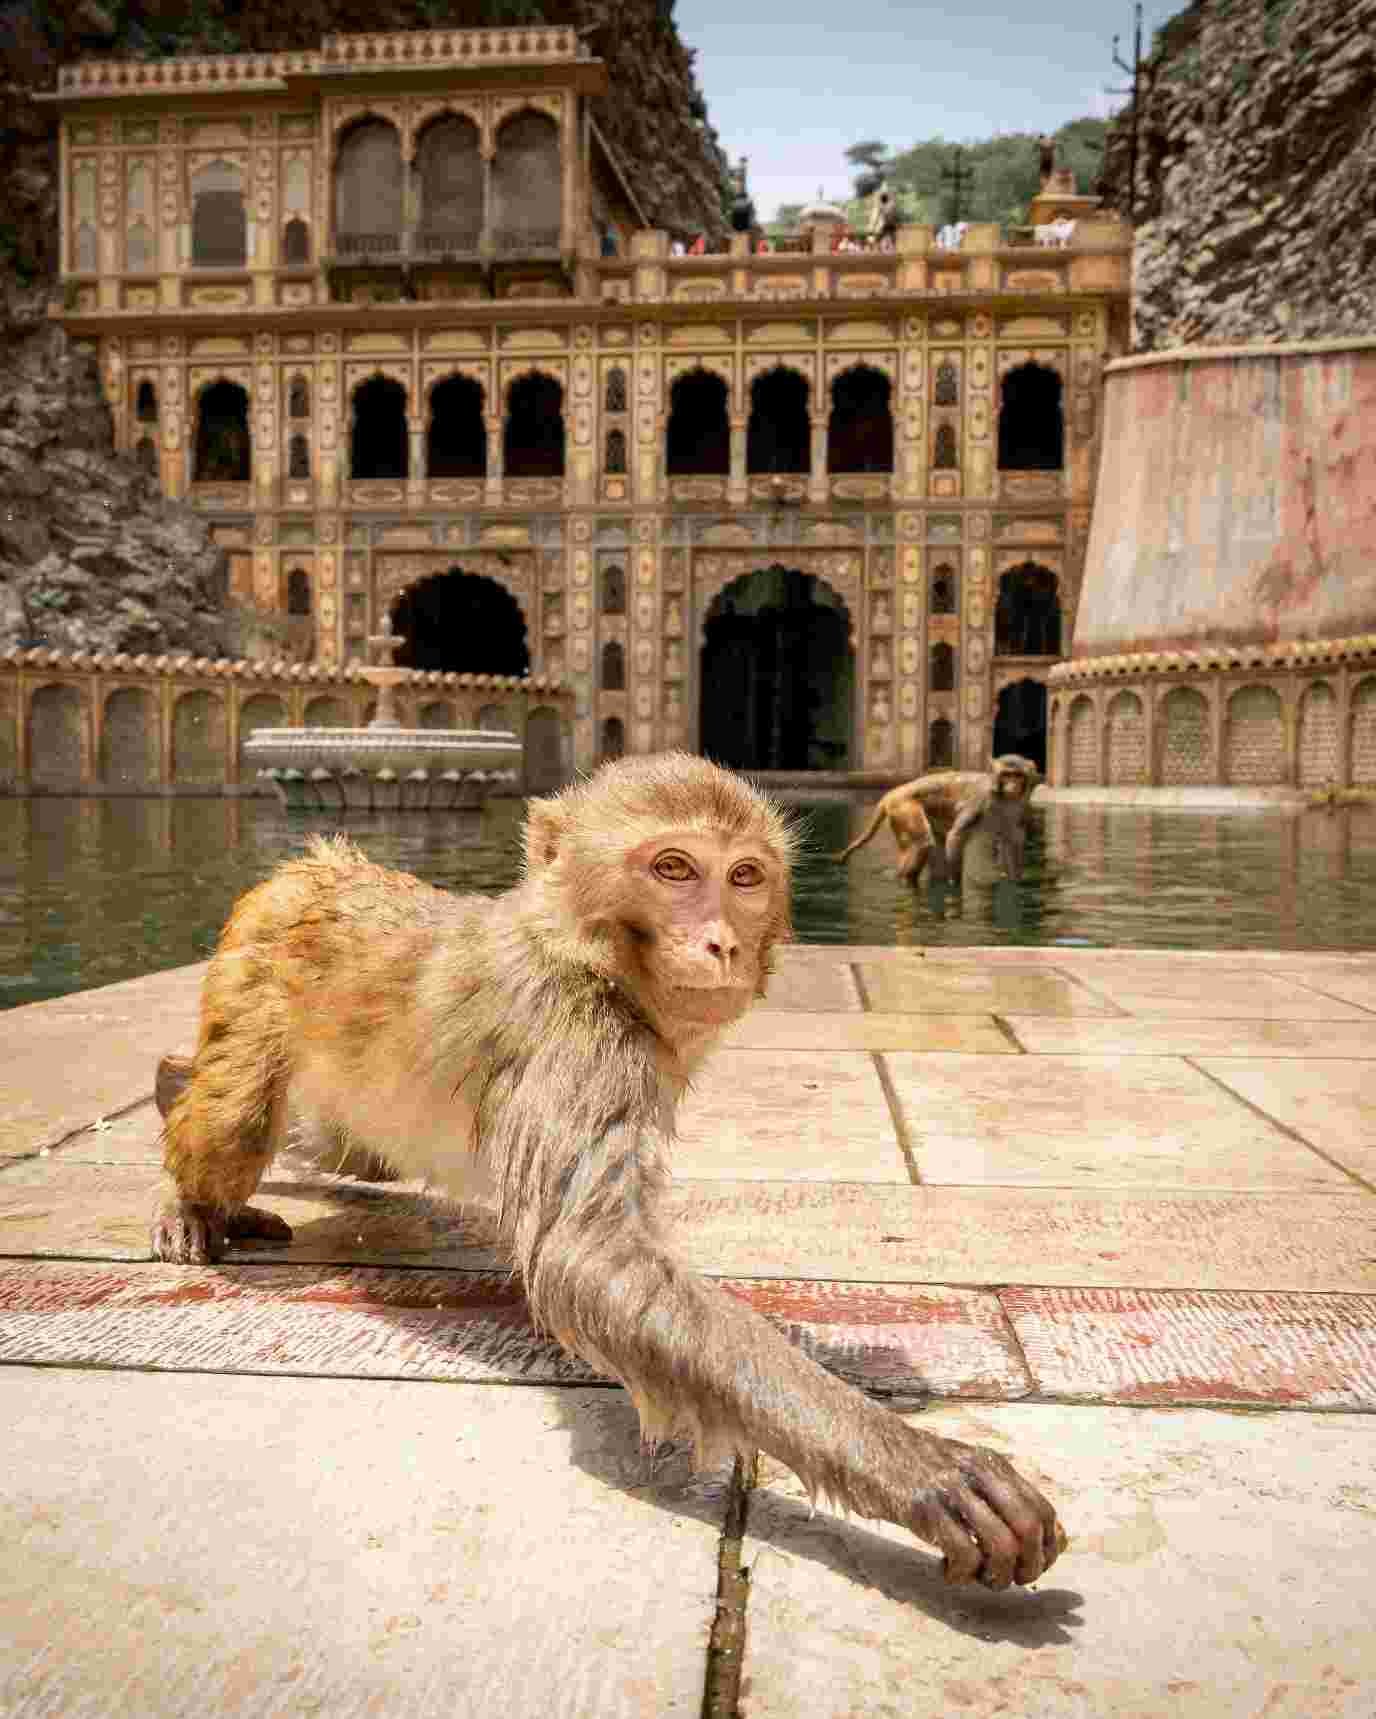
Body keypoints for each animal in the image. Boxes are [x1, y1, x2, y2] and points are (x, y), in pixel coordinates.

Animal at [151, 752, 1064, 1590]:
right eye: (673, 868)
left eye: (744, 875)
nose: (723, 940)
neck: (590, 955)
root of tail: (310, 864)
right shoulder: (573, 1031)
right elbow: (587, 1253)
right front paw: (919, 1465)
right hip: (257, 972)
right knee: (237, 1121)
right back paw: (190, 1189)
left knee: (344, 1148)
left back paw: (169, 1083)